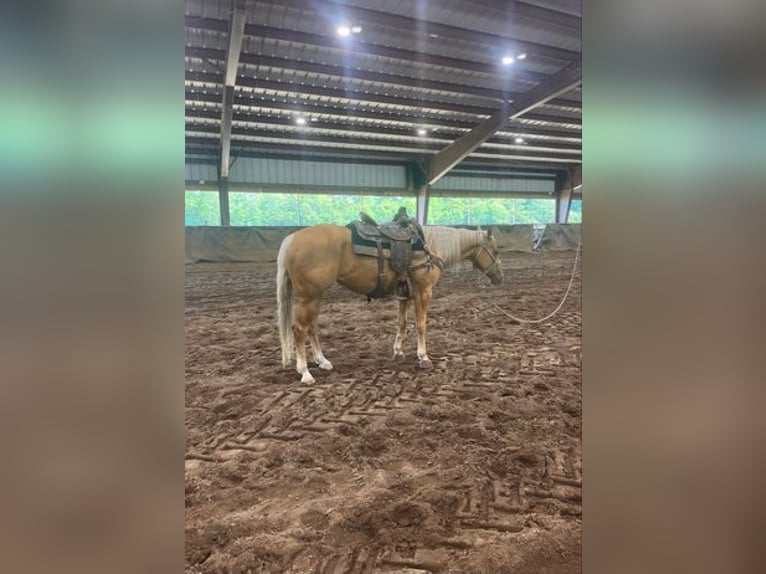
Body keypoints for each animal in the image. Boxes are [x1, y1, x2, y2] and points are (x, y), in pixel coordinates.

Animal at [280, 224, 508, 382]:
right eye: (496, 251)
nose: (500, 278)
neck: (430, 248)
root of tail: (292, 239)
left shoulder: (405, 295)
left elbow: (402, 323)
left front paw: (398, 351)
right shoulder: (423, 292)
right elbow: (421, 325)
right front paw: (423, 357)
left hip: (315, 296)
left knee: (311, 327)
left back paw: (322, 361)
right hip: (309, 297)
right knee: (299, 329)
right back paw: (305, 372)